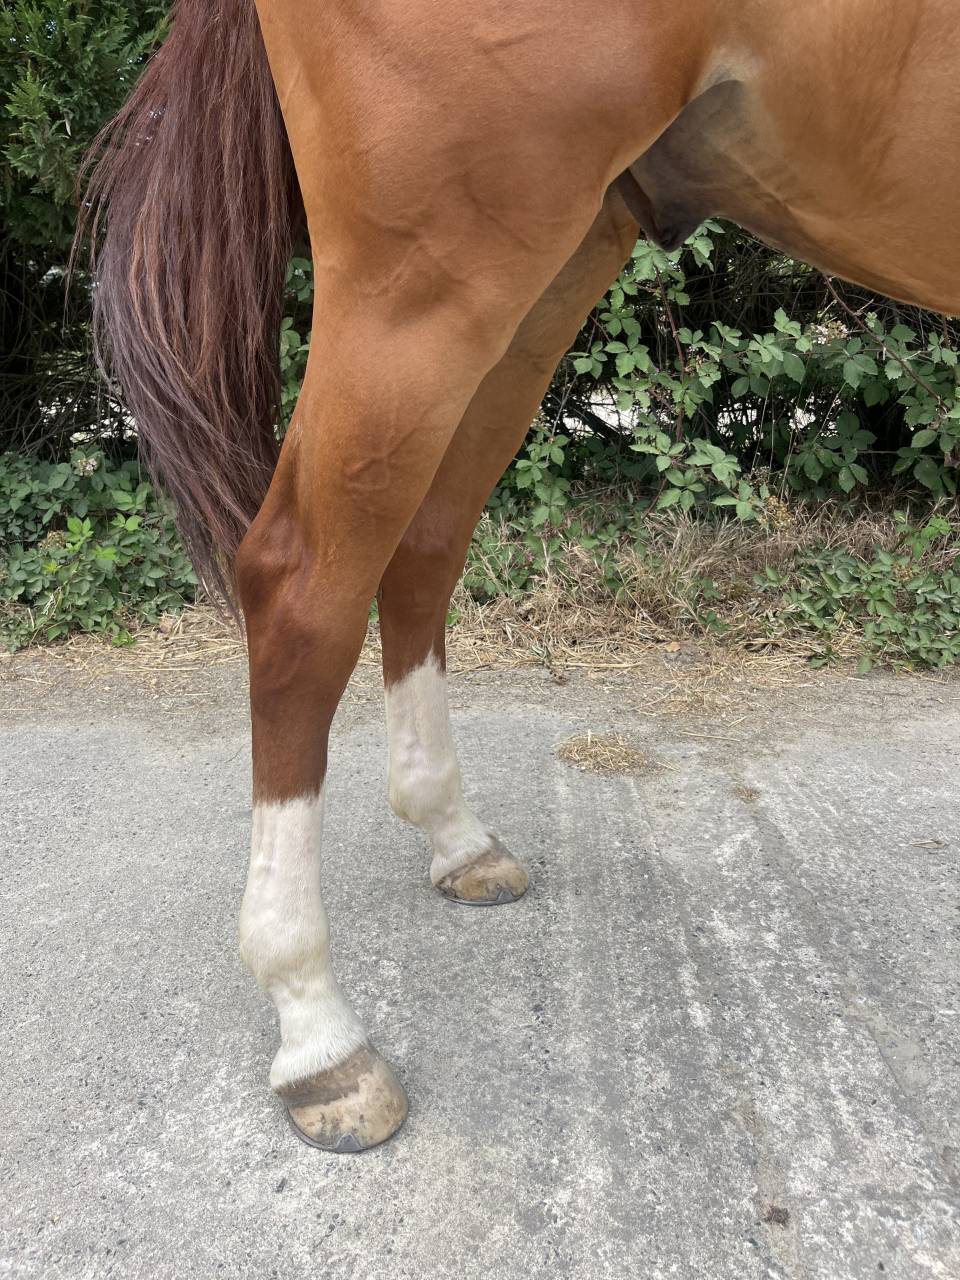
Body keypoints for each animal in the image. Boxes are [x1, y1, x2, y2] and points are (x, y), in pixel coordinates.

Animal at [81, 0, 960, 1152]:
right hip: (433, 278)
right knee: (303, 585)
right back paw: (317, 1032)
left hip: (550, 262)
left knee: (424, 542)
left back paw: (454, 837)